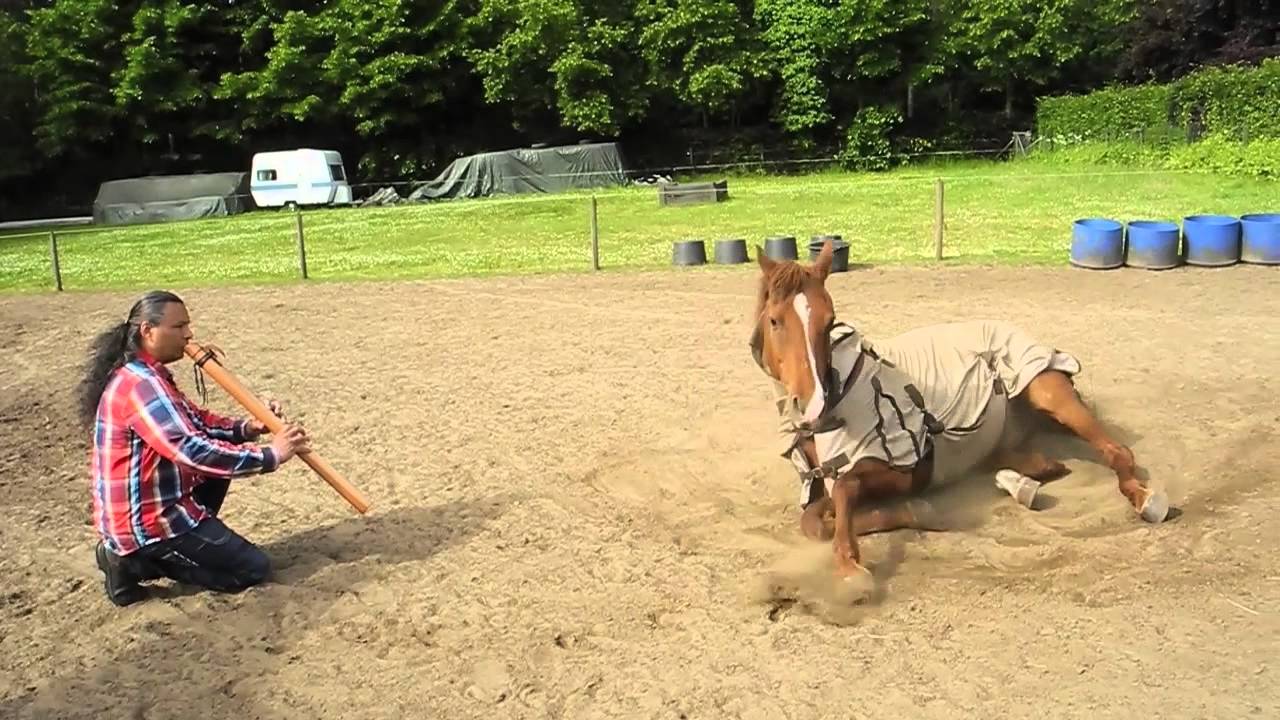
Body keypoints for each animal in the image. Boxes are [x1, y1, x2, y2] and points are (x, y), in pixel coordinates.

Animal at [748, 239, 1170, 578]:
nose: (813, 403)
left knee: (1117, 451)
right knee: (1030, 461)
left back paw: (1145, 499)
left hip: (1048, 392)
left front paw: (861, 555)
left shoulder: (902, 468)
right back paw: (1023, 480)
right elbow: (814, 518)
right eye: (775, 321)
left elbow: (841, 497)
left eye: (829, 321)